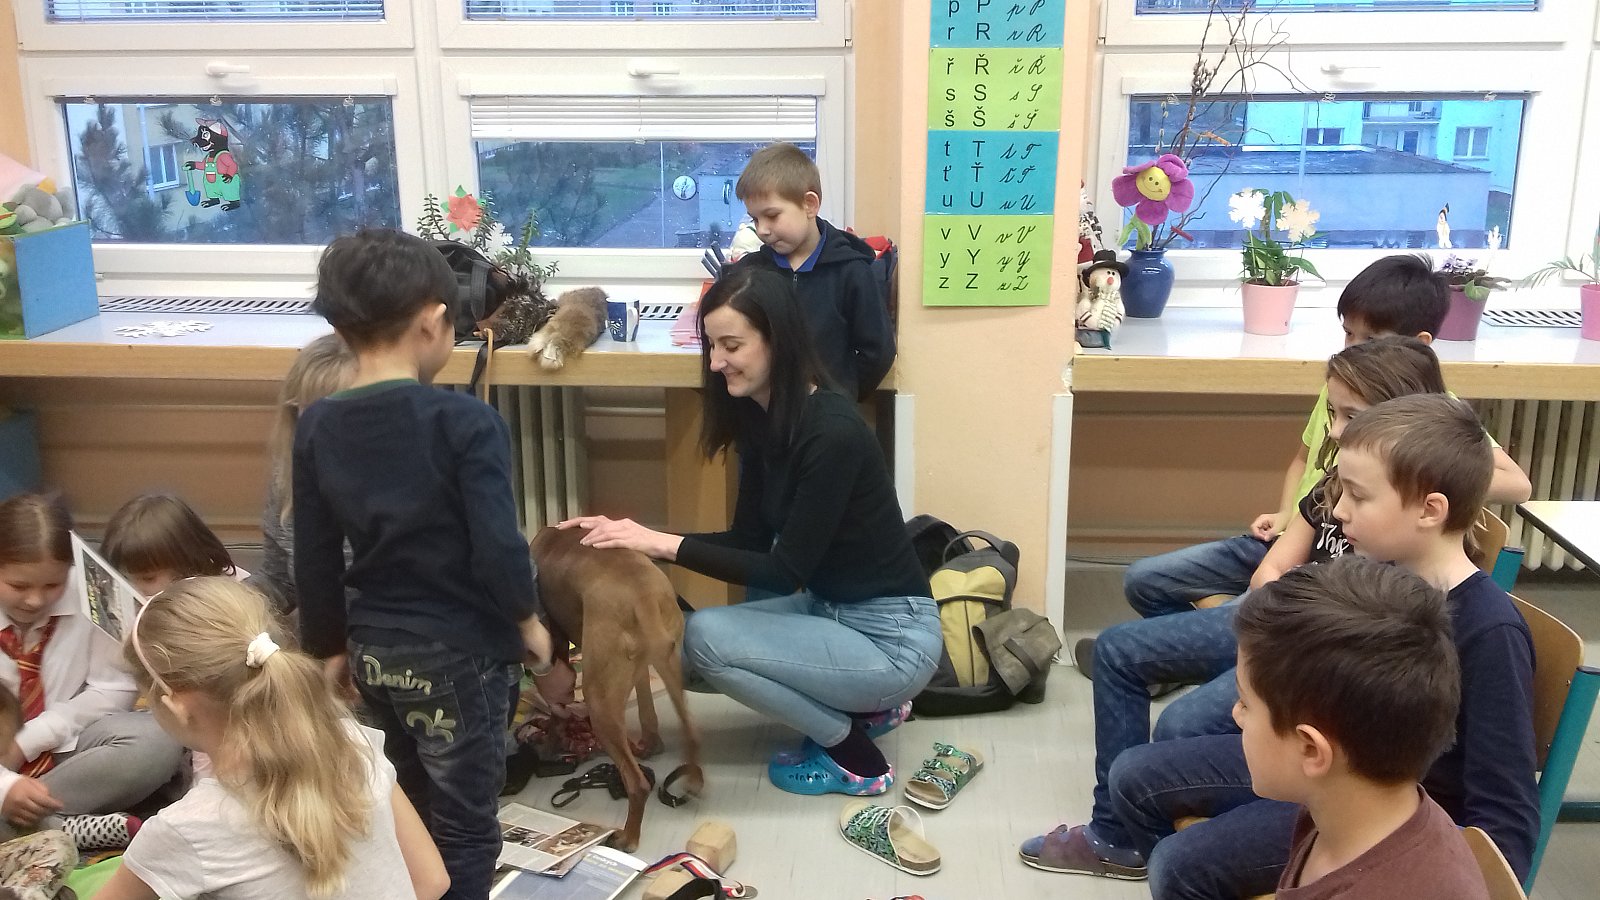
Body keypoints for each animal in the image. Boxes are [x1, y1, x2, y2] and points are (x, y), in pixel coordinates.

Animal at [529, 526, 703, 852]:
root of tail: (643, 596)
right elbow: (647, 708)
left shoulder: (554, 641)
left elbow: (556, 710)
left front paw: (548, 745)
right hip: (668, 665)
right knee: (687, 734)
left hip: (599, 702)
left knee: (637, 784)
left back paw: (627, 838)